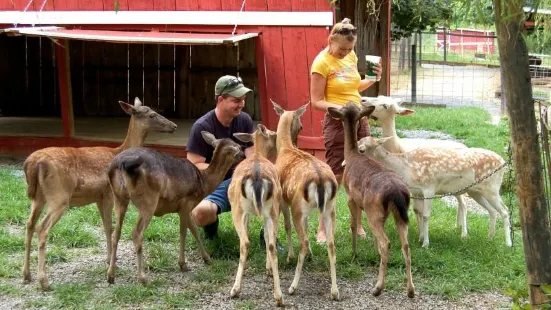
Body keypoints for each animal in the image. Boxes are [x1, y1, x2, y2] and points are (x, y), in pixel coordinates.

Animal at [106, 132, 245, 284]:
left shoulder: (186, 208)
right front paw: (183, 264)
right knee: (136, 233)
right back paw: (142, 278)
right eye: (238, 146)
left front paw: (207, 258)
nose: (244, 155)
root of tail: (121, 164)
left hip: (119, 197)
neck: (203, 182)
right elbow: (184, 232)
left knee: (116, 232)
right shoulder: (186, 202)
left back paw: (110, 275)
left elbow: (194, 230)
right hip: (148, 200)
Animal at [272, 100, 340, 302]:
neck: (285, 149)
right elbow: (309, 228)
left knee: (301, 240)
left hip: (297, 206)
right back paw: (335, 291)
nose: (298, 139)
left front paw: (289, 256)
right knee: (331, 244)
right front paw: (311, 253)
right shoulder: (306, 211)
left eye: (301, 125)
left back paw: (292, 287)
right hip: (330, 209)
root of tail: (321, 180)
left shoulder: (283, 199)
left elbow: (286, 226)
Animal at [328, 102, 414, 298]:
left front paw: (354, 254)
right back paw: (411, 290)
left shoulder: (350, 197)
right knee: (405, 245)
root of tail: (397, 193)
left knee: (386, 242)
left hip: (373, 211)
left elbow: (353, 225)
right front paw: (374, 254)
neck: (352, 155)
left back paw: (378, 287)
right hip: (400, 214)